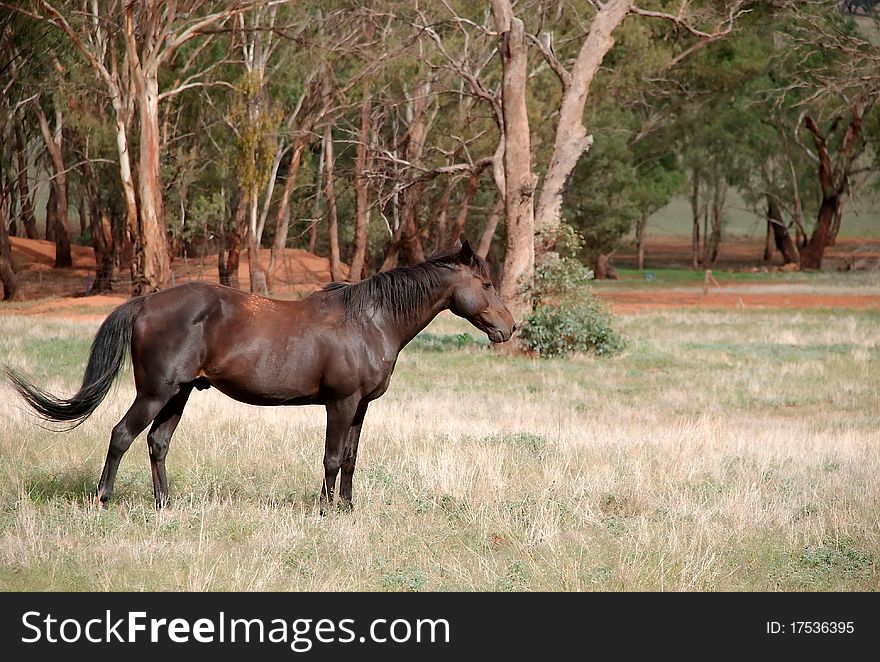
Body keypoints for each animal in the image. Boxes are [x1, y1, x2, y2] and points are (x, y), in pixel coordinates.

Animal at [5, 241, 516, 510]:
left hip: (179, 393)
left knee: (157, 443)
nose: (509, 328)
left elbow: (351, 458)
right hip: (155, 392)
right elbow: (332, 458)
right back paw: (104, 499)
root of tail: (146, 302)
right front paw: (327, 511)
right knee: (121, 435)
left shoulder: (361, 407)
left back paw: (165, 504)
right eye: (487, 284)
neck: (370, 321)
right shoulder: (341, 402)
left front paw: (348, 508)